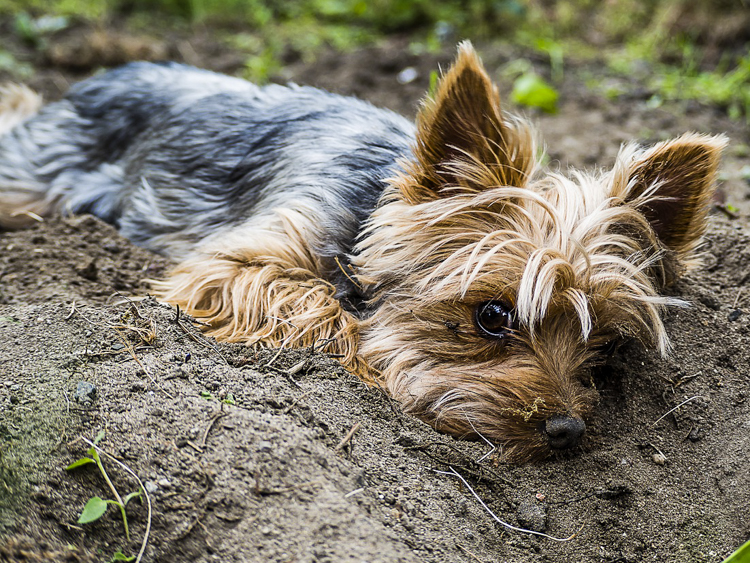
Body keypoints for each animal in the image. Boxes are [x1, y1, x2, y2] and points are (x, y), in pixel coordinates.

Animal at [0, 41, 728, 460]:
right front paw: (384, 356)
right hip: (33, 172)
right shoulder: (228, 266)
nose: (567, 433)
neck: (368, 208)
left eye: (600, 340)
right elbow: (325, 308)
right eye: (492, 315)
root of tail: (105, 73)